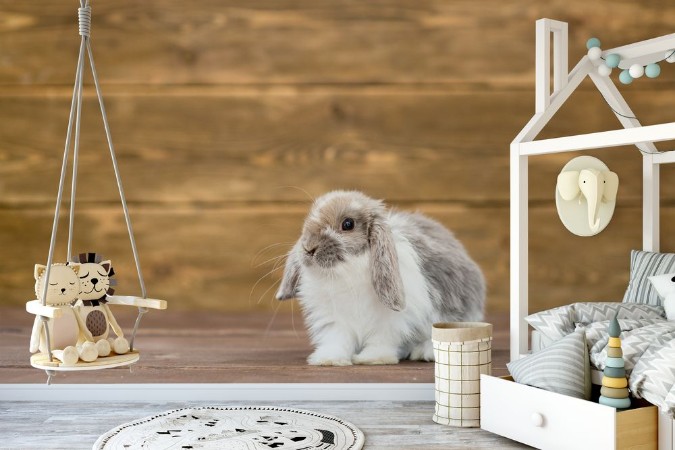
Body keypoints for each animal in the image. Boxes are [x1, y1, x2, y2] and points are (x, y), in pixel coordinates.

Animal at [274, 190, 486, 366]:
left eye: (348, 224)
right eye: (309, 219)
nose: (308, 248)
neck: (347, 272)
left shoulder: (389, 321)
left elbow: (381, 340)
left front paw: (372, 359)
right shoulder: (335, 319)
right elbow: (338, 339)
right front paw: (329, 360)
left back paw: (425, 353)